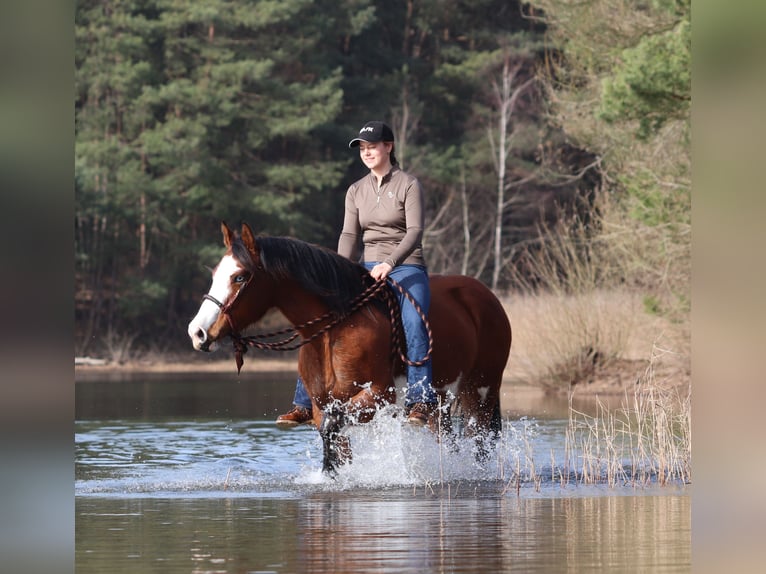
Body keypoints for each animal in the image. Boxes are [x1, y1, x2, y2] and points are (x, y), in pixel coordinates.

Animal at [187, 222, 512, 475]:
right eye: (216, 274)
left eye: (240, 277)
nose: (197, 332)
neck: (336, 329)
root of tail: (486, 297)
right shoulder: (323, 406)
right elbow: (333, 440)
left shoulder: (377, 396)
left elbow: (332, 431)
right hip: (440, 401)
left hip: (481, 391)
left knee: (480, 440)